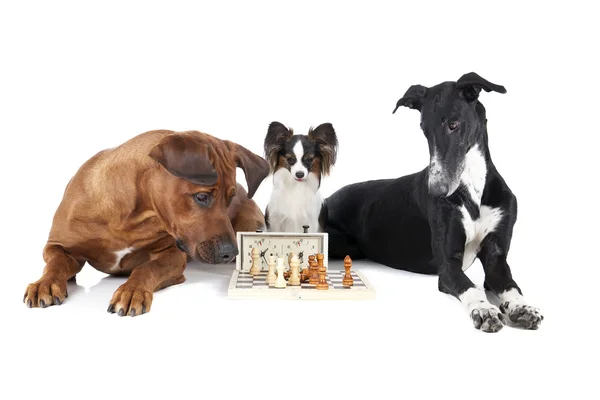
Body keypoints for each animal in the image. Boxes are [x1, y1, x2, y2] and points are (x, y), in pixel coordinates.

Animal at [22, 130, 268, 318]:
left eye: (229, 198)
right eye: (201, 197)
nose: (230, 252)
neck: (128, 217)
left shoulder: (173, 255)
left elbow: (146, 268)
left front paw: (132, 291)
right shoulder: (57, 245)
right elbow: (56, 263)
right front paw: (45, 283)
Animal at [324, 73, 544, 332]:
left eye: (453, 124)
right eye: (424, 130)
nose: (437, 192)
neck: (473, 188)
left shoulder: (496, 259)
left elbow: (510, 285)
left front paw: (523, 307)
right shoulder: (447, 266)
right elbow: (471, 287)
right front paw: (484, 309)